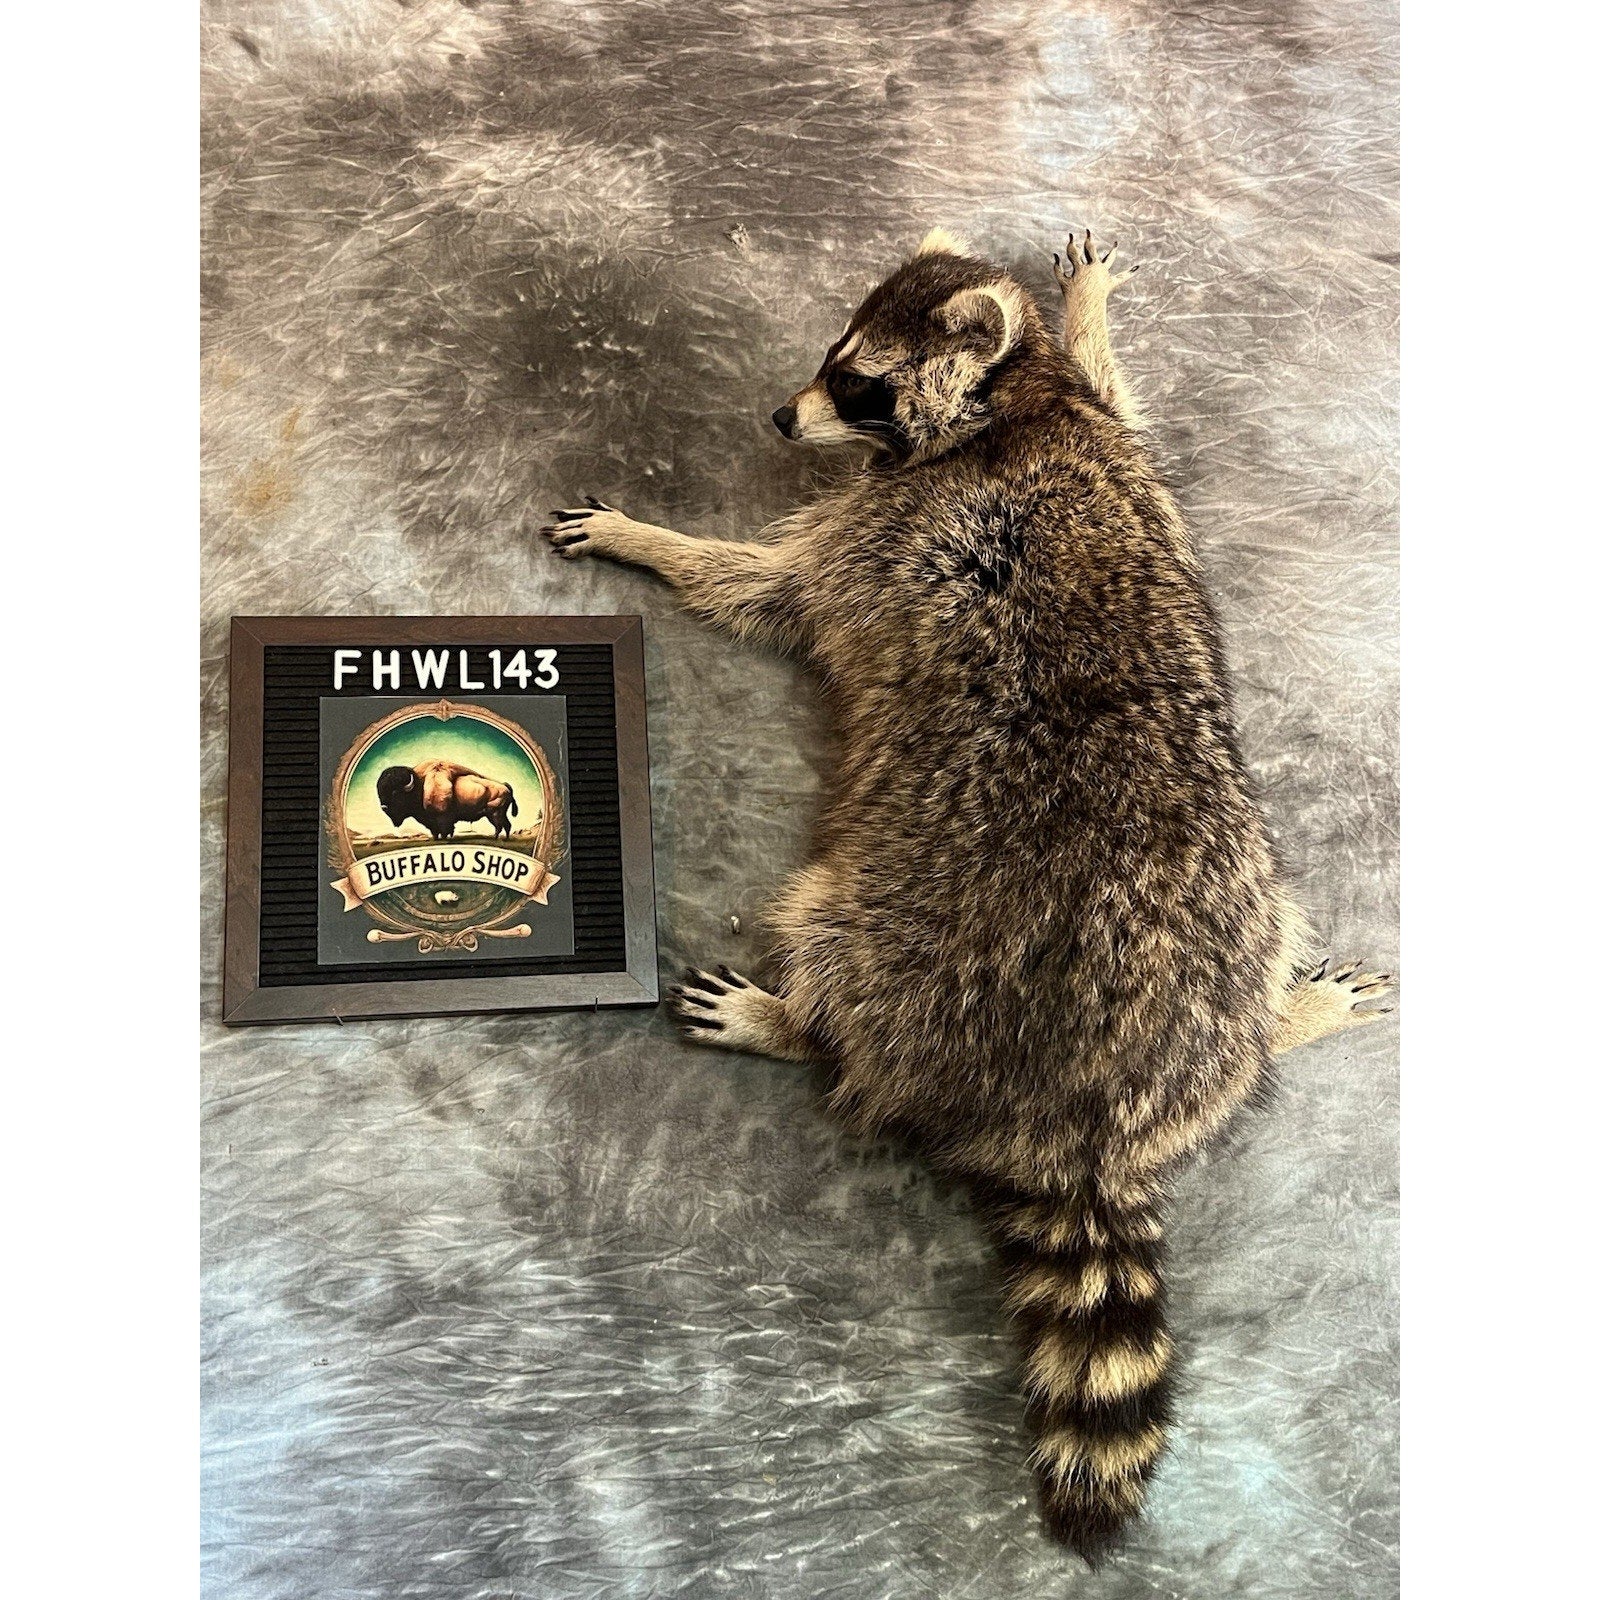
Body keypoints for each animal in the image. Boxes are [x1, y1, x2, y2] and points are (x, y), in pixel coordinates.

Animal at [541, 227, 1393, 1561]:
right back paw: (1283, 1016)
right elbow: (1124, 386)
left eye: (858, 386)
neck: (1006, 407)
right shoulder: (1099, 430)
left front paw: (656, 540)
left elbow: (766, 586)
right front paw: (1086, 303)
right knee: (1264, 932)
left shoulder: (881, 531)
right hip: (1236, 898)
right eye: (829, 359)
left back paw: (798, 1020)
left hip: (906, 928)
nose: (778, 417)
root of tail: (1089, 1121)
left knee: (841, 973)